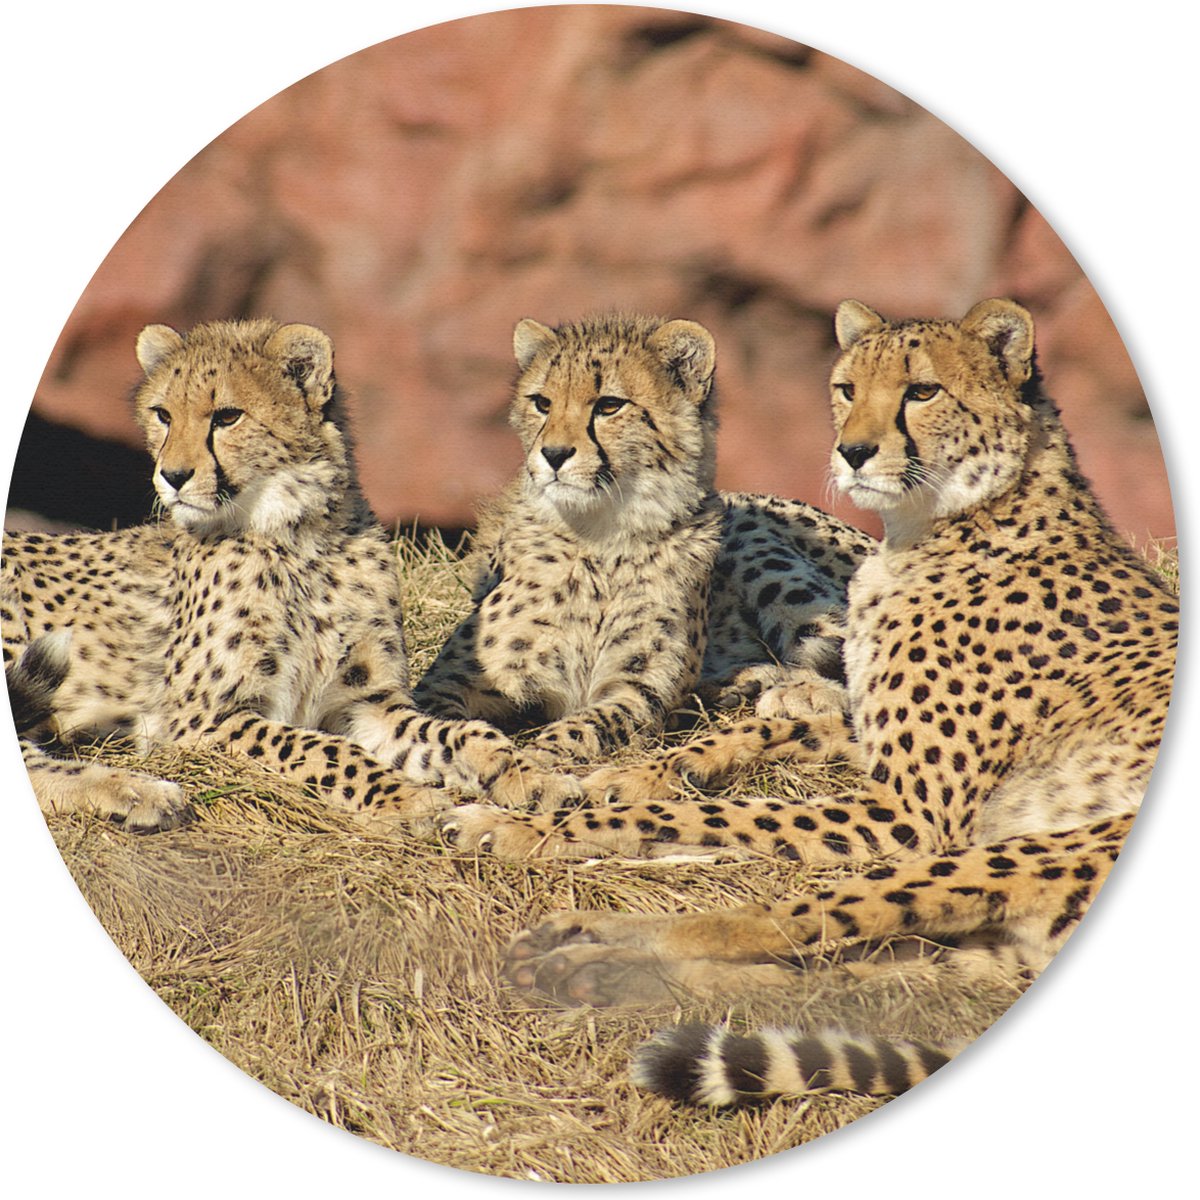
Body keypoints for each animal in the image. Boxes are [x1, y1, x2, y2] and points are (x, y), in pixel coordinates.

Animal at [3, 318, 578, 831]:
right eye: (162, 414)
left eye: (227, 416)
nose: (173, 476)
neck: (296, 537)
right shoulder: (202, 718)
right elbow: (324, 749)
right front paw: (405, 798)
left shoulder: (368, 702)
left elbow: (462, 734)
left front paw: (530, 775)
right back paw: (137, 792)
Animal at [413, 312, 871, 768]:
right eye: (541, 402)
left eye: (609, 405)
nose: (554, 455)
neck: (598, 538)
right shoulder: (446, 683)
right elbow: (440, 728)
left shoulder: (638, 690)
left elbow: (583, 727)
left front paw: (544, 761)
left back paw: (795, 691)